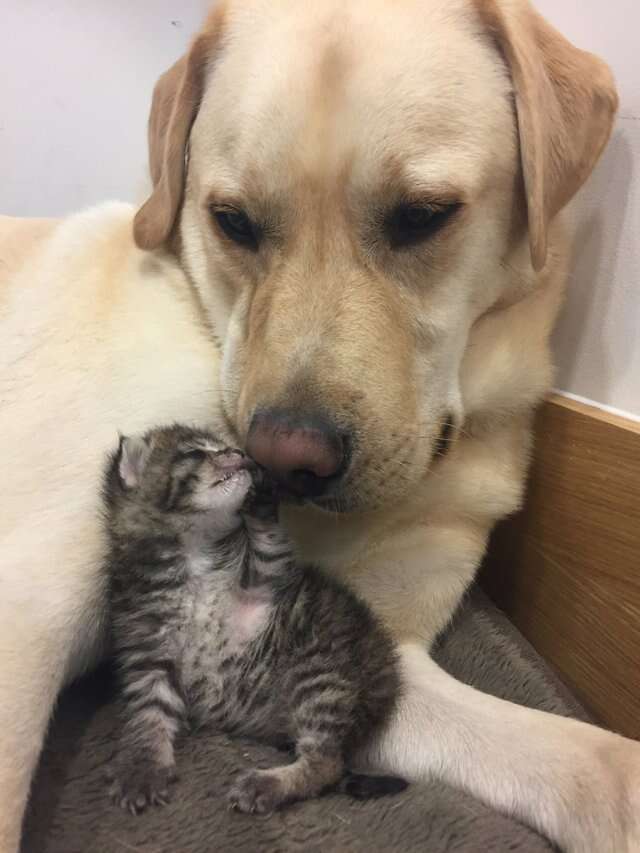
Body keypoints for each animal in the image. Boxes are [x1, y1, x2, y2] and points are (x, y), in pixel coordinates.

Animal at [104, 424, 404, 812]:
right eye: (197, 453)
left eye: (225, 446)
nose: (240, 453)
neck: (196, 554)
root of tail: (386, 677)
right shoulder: (148, 645)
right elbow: (149, 710)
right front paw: (142, 766)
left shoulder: (268, 579)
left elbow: (269, 540)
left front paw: (261, 499)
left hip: (320, 668)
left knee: (326, 762)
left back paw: (268, 784)